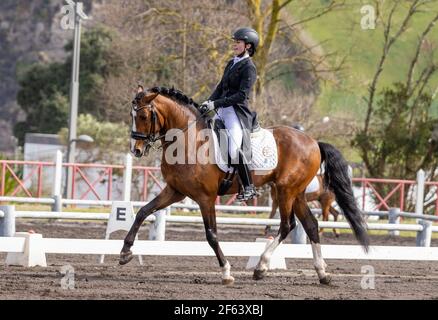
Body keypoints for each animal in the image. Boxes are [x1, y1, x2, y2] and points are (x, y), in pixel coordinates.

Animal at [120, 85, 370, 284]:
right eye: (131, 115)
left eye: (144, 116)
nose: (136, 150)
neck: (188, 140)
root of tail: (313, 142)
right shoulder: (175, 191)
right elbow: (142, 212)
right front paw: (125, 252)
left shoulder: (205, 197)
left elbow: (211, 235)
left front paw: (226, 273)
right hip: (296, 193)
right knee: (310, 224)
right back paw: (322, 273)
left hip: (285, 191)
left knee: (287, 225)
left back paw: (262, 267)